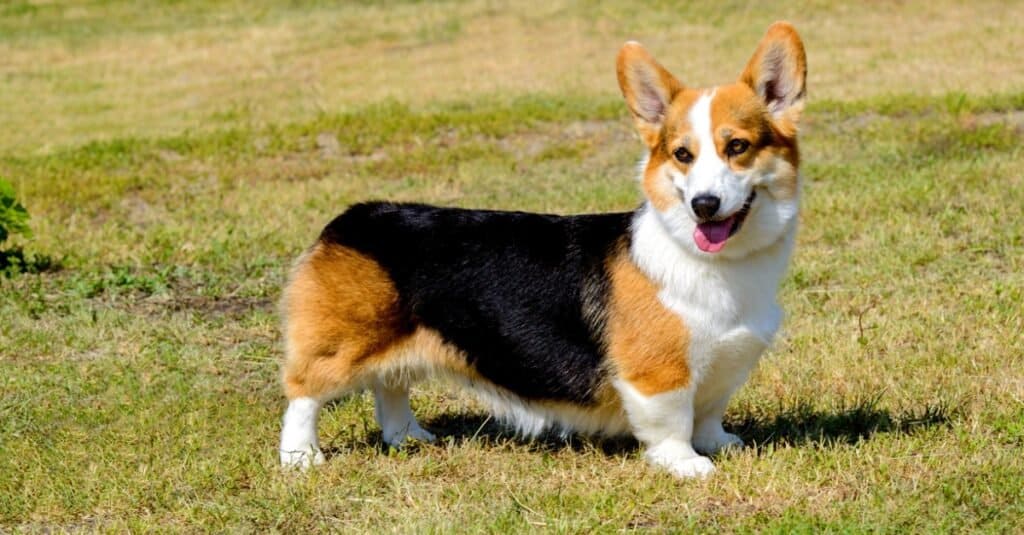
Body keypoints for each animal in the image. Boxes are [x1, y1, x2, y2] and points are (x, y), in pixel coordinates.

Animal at [276, 20, 802, 475]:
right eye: (682, 154)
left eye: (737, 147)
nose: (704, 205)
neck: (721, 265)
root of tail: (353, 217)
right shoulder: (658, 374)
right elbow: (672, 423)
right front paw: (688, 465)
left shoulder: (726, 364)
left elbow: (709, 412)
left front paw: (721, 444)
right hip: (342, 345)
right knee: (303, 391)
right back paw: (300, 456)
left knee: (391, 383)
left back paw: (407, 436)